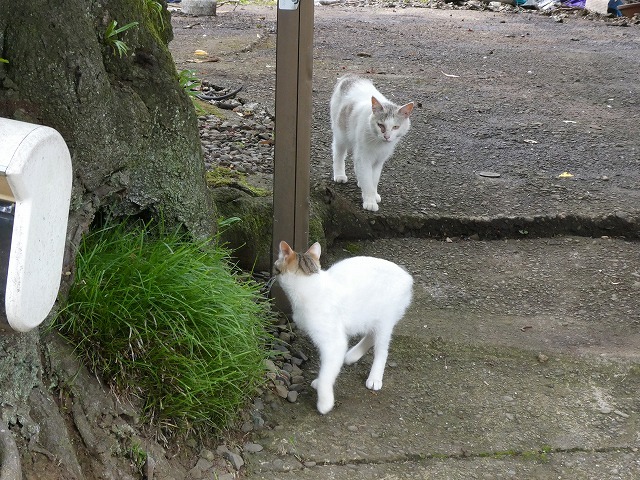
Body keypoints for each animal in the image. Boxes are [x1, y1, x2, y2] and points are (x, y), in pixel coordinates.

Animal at [272, 242, 412, 414]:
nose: (273, 274)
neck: (311, 284)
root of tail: (407, 276)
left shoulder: (334, 343)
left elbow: (327, 373)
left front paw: (324, 401)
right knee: (370, 334)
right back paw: (351, 355)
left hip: (384, 321)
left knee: (381, 350)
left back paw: (374, 377)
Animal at [330, 73, 416, 212]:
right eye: (380, 125)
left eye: (395, 127)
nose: (387, 136)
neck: (379, 143)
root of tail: (350, 76)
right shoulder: (364, 157)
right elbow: (367, 179)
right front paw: (370, 201)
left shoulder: (378, 161)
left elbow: (373, 179)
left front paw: (373, 194)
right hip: (341, 135)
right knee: (338, 154)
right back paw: (340, 175)